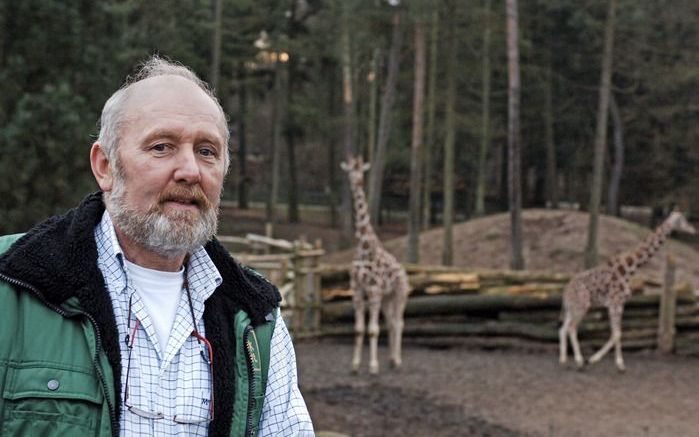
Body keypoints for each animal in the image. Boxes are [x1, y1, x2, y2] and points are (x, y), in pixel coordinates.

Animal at [342, 155, 412, 372]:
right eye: (349, 170)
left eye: (361, 170)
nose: (355, 181)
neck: (364, 247)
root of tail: (404, 273)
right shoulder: (357, 290)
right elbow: (359, 329)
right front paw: (355, 365)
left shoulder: (373, 291)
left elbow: (373, 330)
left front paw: (373, 366)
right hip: (387, 298)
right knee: (391, 323)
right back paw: (391, 359)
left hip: (399, 294)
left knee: (399, 322)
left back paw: (398, 360)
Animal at [560, 207, 696, 368]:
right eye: (681, 220)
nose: (693, 229)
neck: (628, 269)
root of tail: (566, 291)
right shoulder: (614, 303)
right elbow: (617, 333)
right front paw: (614, 363)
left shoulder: (620, 304)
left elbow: (617, 333)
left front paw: (612, 361)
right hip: (582, 305)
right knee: (571, 328)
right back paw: (579, 360)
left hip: (572, 307)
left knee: (563, 329)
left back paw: (563, 359)